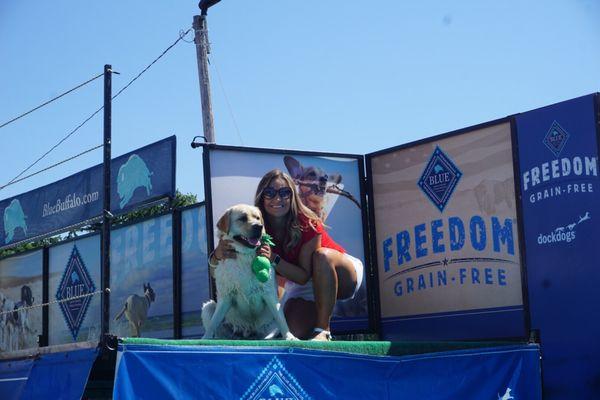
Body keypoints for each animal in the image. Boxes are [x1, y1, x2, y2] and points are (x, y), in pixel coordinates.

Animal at [202, 205, 296, 340]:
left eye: (257, 218)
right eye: (242, 218)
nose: (259, 226)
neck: (244, 255)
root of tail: (248, 334)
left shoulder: (269, 293)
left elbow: (281, 319)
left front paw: (289, 337)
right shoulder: (226, 296)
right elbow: (213, 322)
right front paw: (205, 338)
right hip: (208, 307)